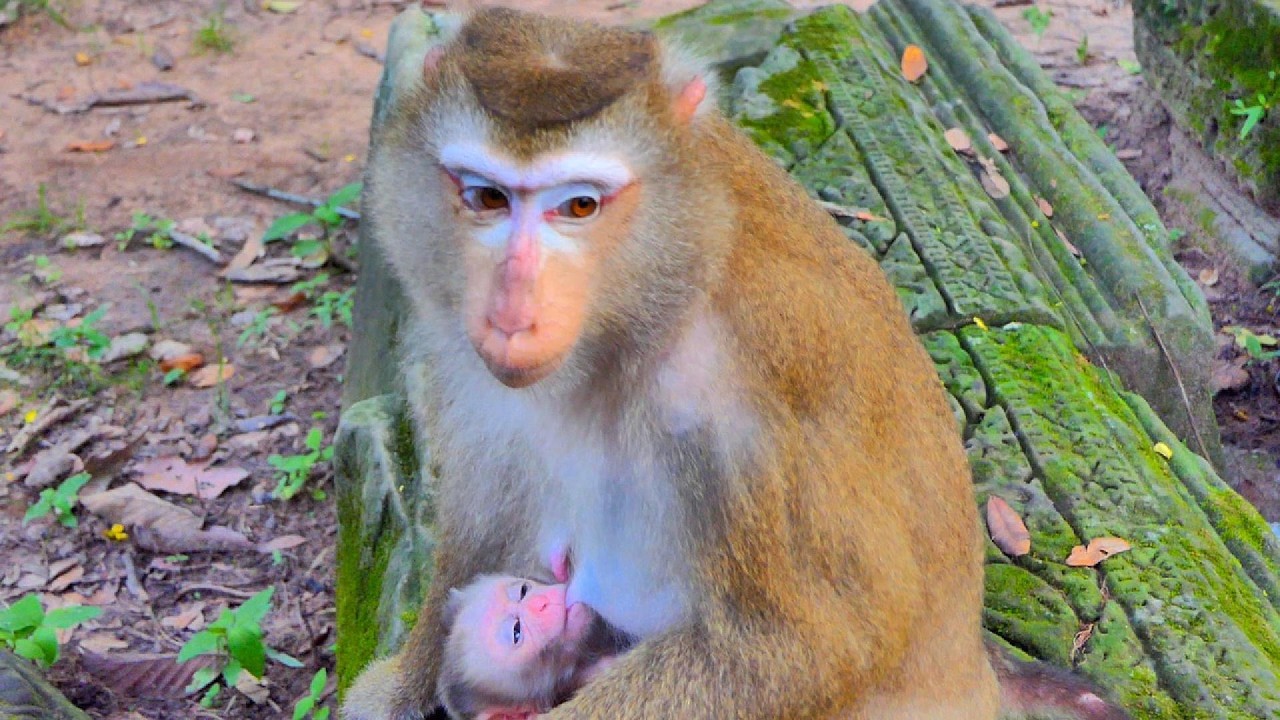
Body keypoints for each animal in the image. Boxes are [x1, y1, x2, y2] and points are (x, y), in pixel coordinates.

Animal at [341, 6, 1125, 720]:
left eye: (580, 206)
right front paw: (402, 688)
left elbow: (806, 644)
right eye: (487, 197)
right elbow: (480, 534)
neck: (649, 308)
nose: (512, 312)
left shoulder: (740, 405)